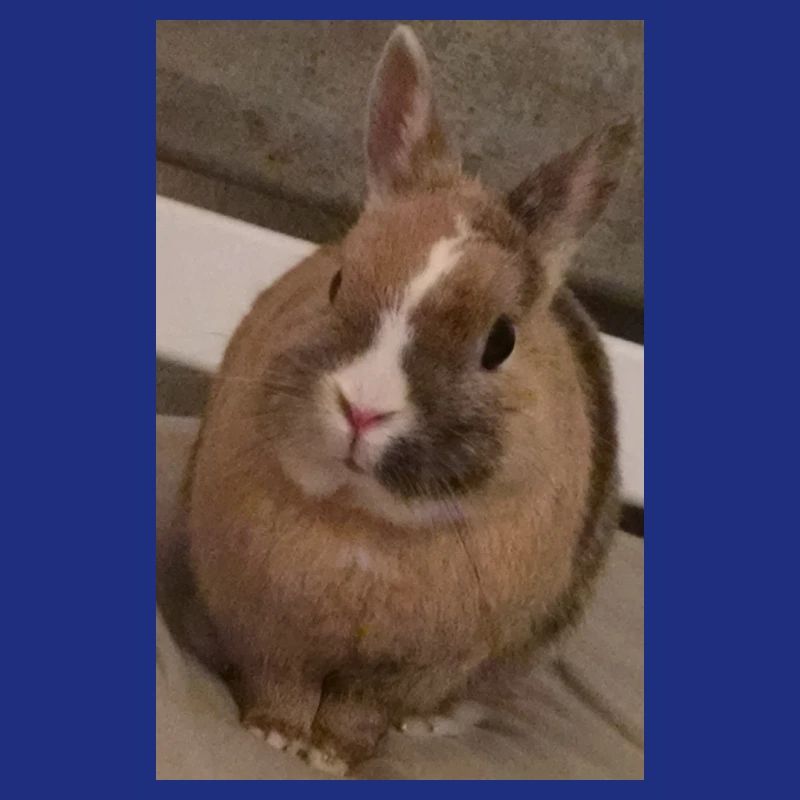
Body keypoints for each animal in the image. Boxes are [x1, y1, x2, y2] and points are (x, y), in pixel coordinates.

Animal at [184, 25, 634, 775]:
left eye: (501, 341)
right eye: (337, 281)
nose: (363, 410)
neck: (361, 521)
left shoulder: (410, 669)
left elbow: (361, 711)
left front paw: (332, 755)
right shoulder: (265, 629)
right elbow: (281, 682)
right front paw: (274, 735)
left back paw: (429, 726)